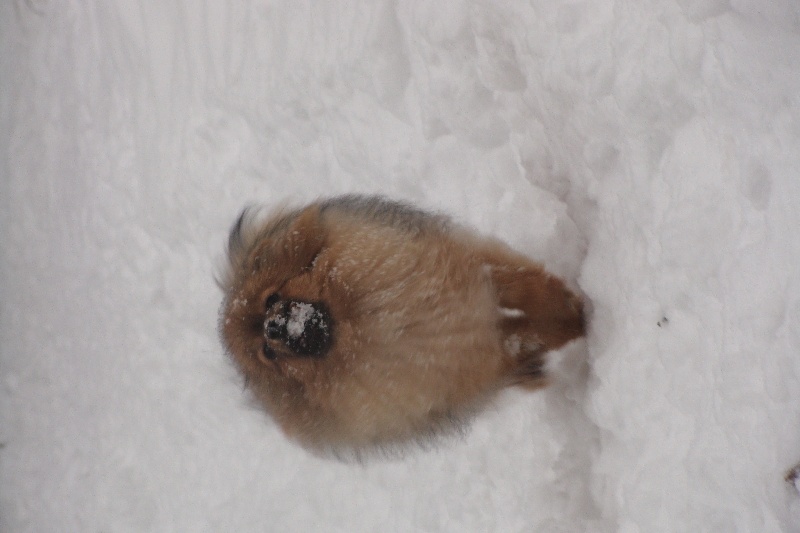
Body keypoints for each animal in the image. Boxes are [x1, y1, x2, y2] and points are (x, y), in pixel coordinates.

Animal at [216, 195, 584, 458]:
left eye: (271, 298)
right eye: (266, 353)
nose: (273, 328)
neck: (371, 325)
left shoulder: (473, 273)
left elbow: (525, 289)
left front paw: (572, 314)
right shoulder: (481, 356)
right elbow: (527, 337)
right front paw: (576, 327)